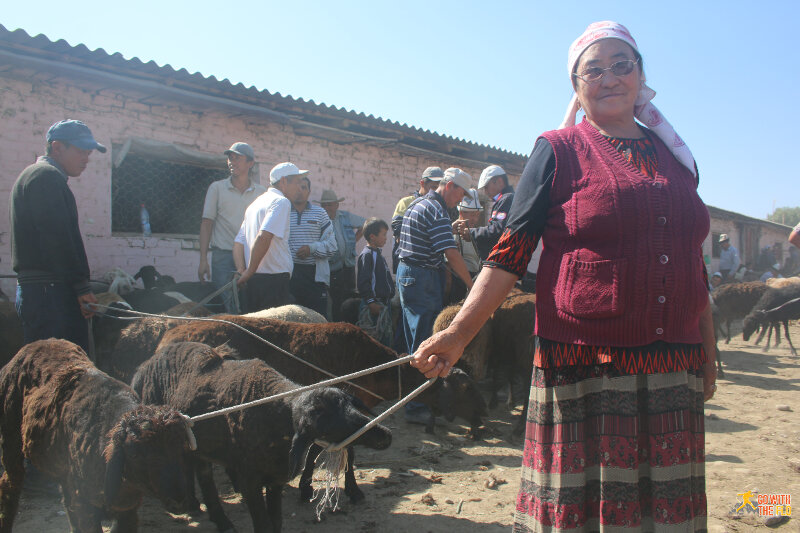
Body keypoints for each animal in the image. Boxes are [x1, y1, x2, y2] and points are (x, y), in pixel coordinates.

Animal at [0, 338, 194, 528]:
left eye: (182, 448)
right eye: (135, 455)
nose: (178, 501)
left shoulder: (128, 509)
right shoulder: (86, 506)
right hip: (10, 441)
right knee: (10, 483)